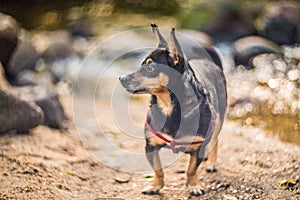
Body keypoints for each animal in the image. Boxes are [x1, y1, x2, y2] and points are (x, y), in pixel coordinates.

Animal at [118, 23, 226, 195]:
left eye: (150, 68)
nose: (121, 78)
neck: (168, 106)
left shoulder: (199, 147)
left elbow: (191, 169)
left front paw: (193, 185)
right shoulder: (150, 146)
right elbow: (158, 169)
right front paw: (155, 186)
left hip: (220, 119)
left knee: (215, 139)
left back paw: (211, 163)